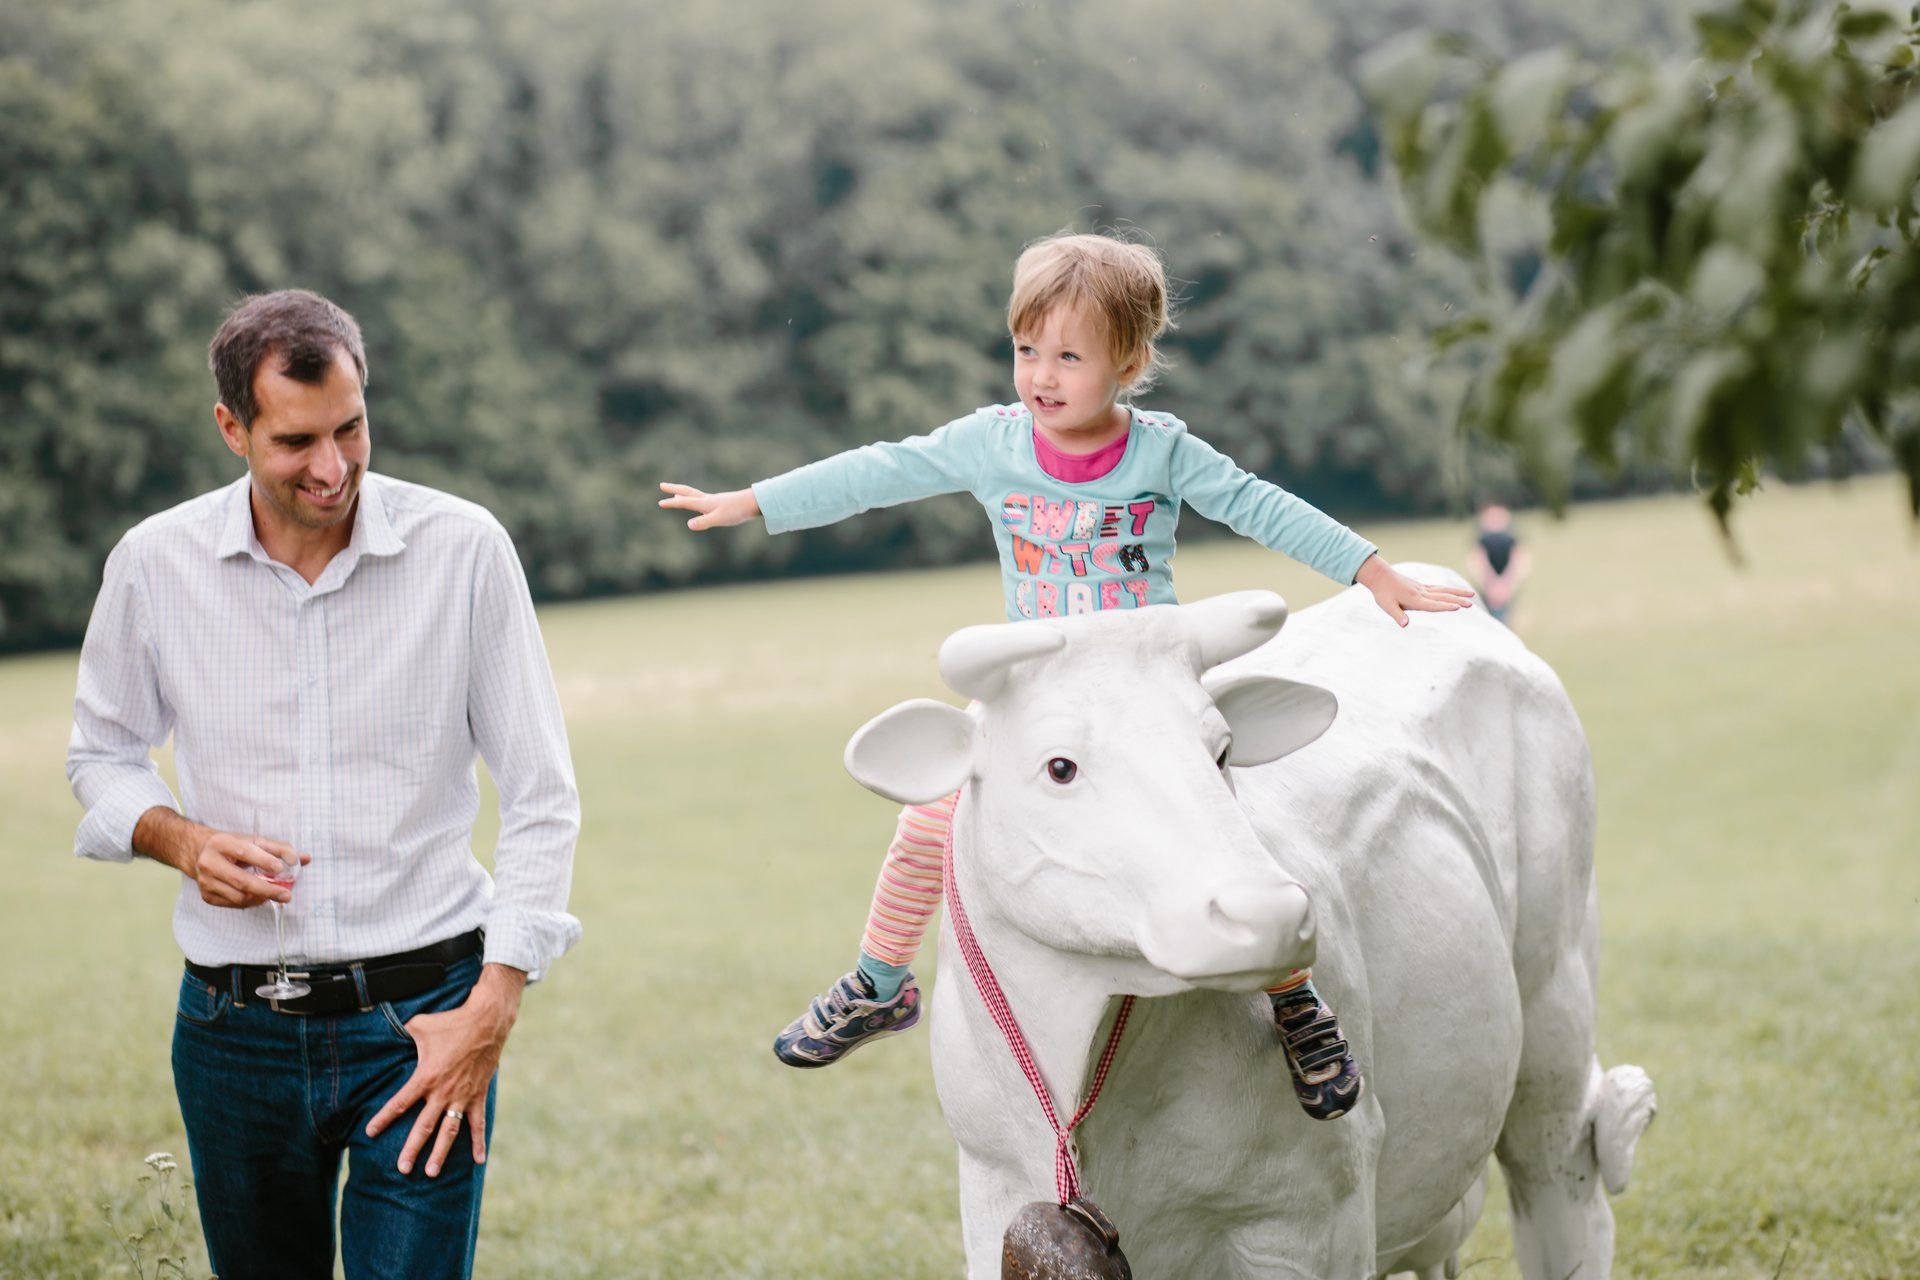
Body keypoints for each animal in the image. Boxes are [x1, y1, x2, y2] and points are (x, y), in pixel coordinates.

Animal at [842, 570, 1656, 1279]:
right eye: (1060, 767)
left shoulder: (1315, 1216)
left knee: (1561, 1185)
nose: (1268, 913)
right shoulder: (991, 1199)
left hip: (1553, 1004)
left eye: (1223, 750)